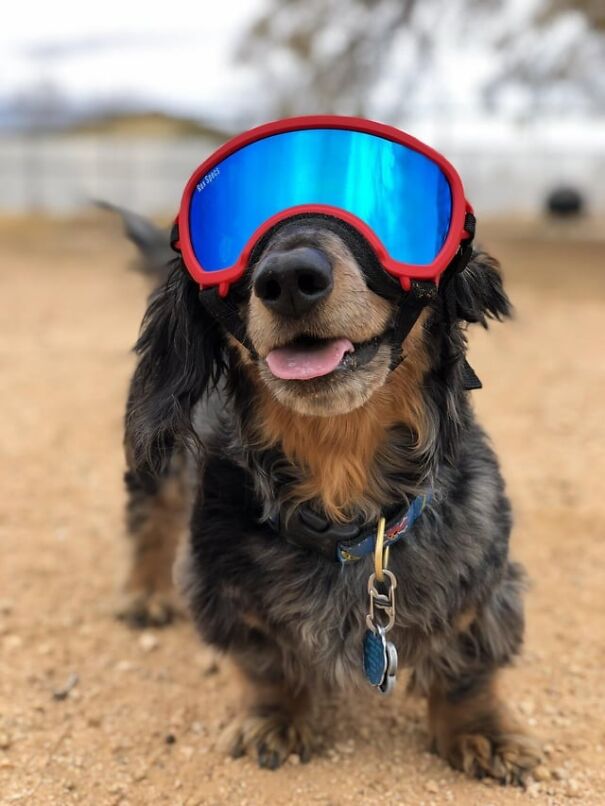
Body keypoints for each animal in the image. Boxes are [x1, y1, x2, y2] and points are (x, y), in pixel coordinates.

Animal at [115, 211, 540, 784]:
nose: (290, 279)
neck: (342, 485)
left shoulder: (479, 571)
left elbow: (466, 668)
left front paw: (484, 731)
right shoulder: (225, 584)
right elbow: (267, 663)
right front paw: (274, 719)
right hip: (162, 461)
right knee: (153, 517)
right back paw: (146, 593)